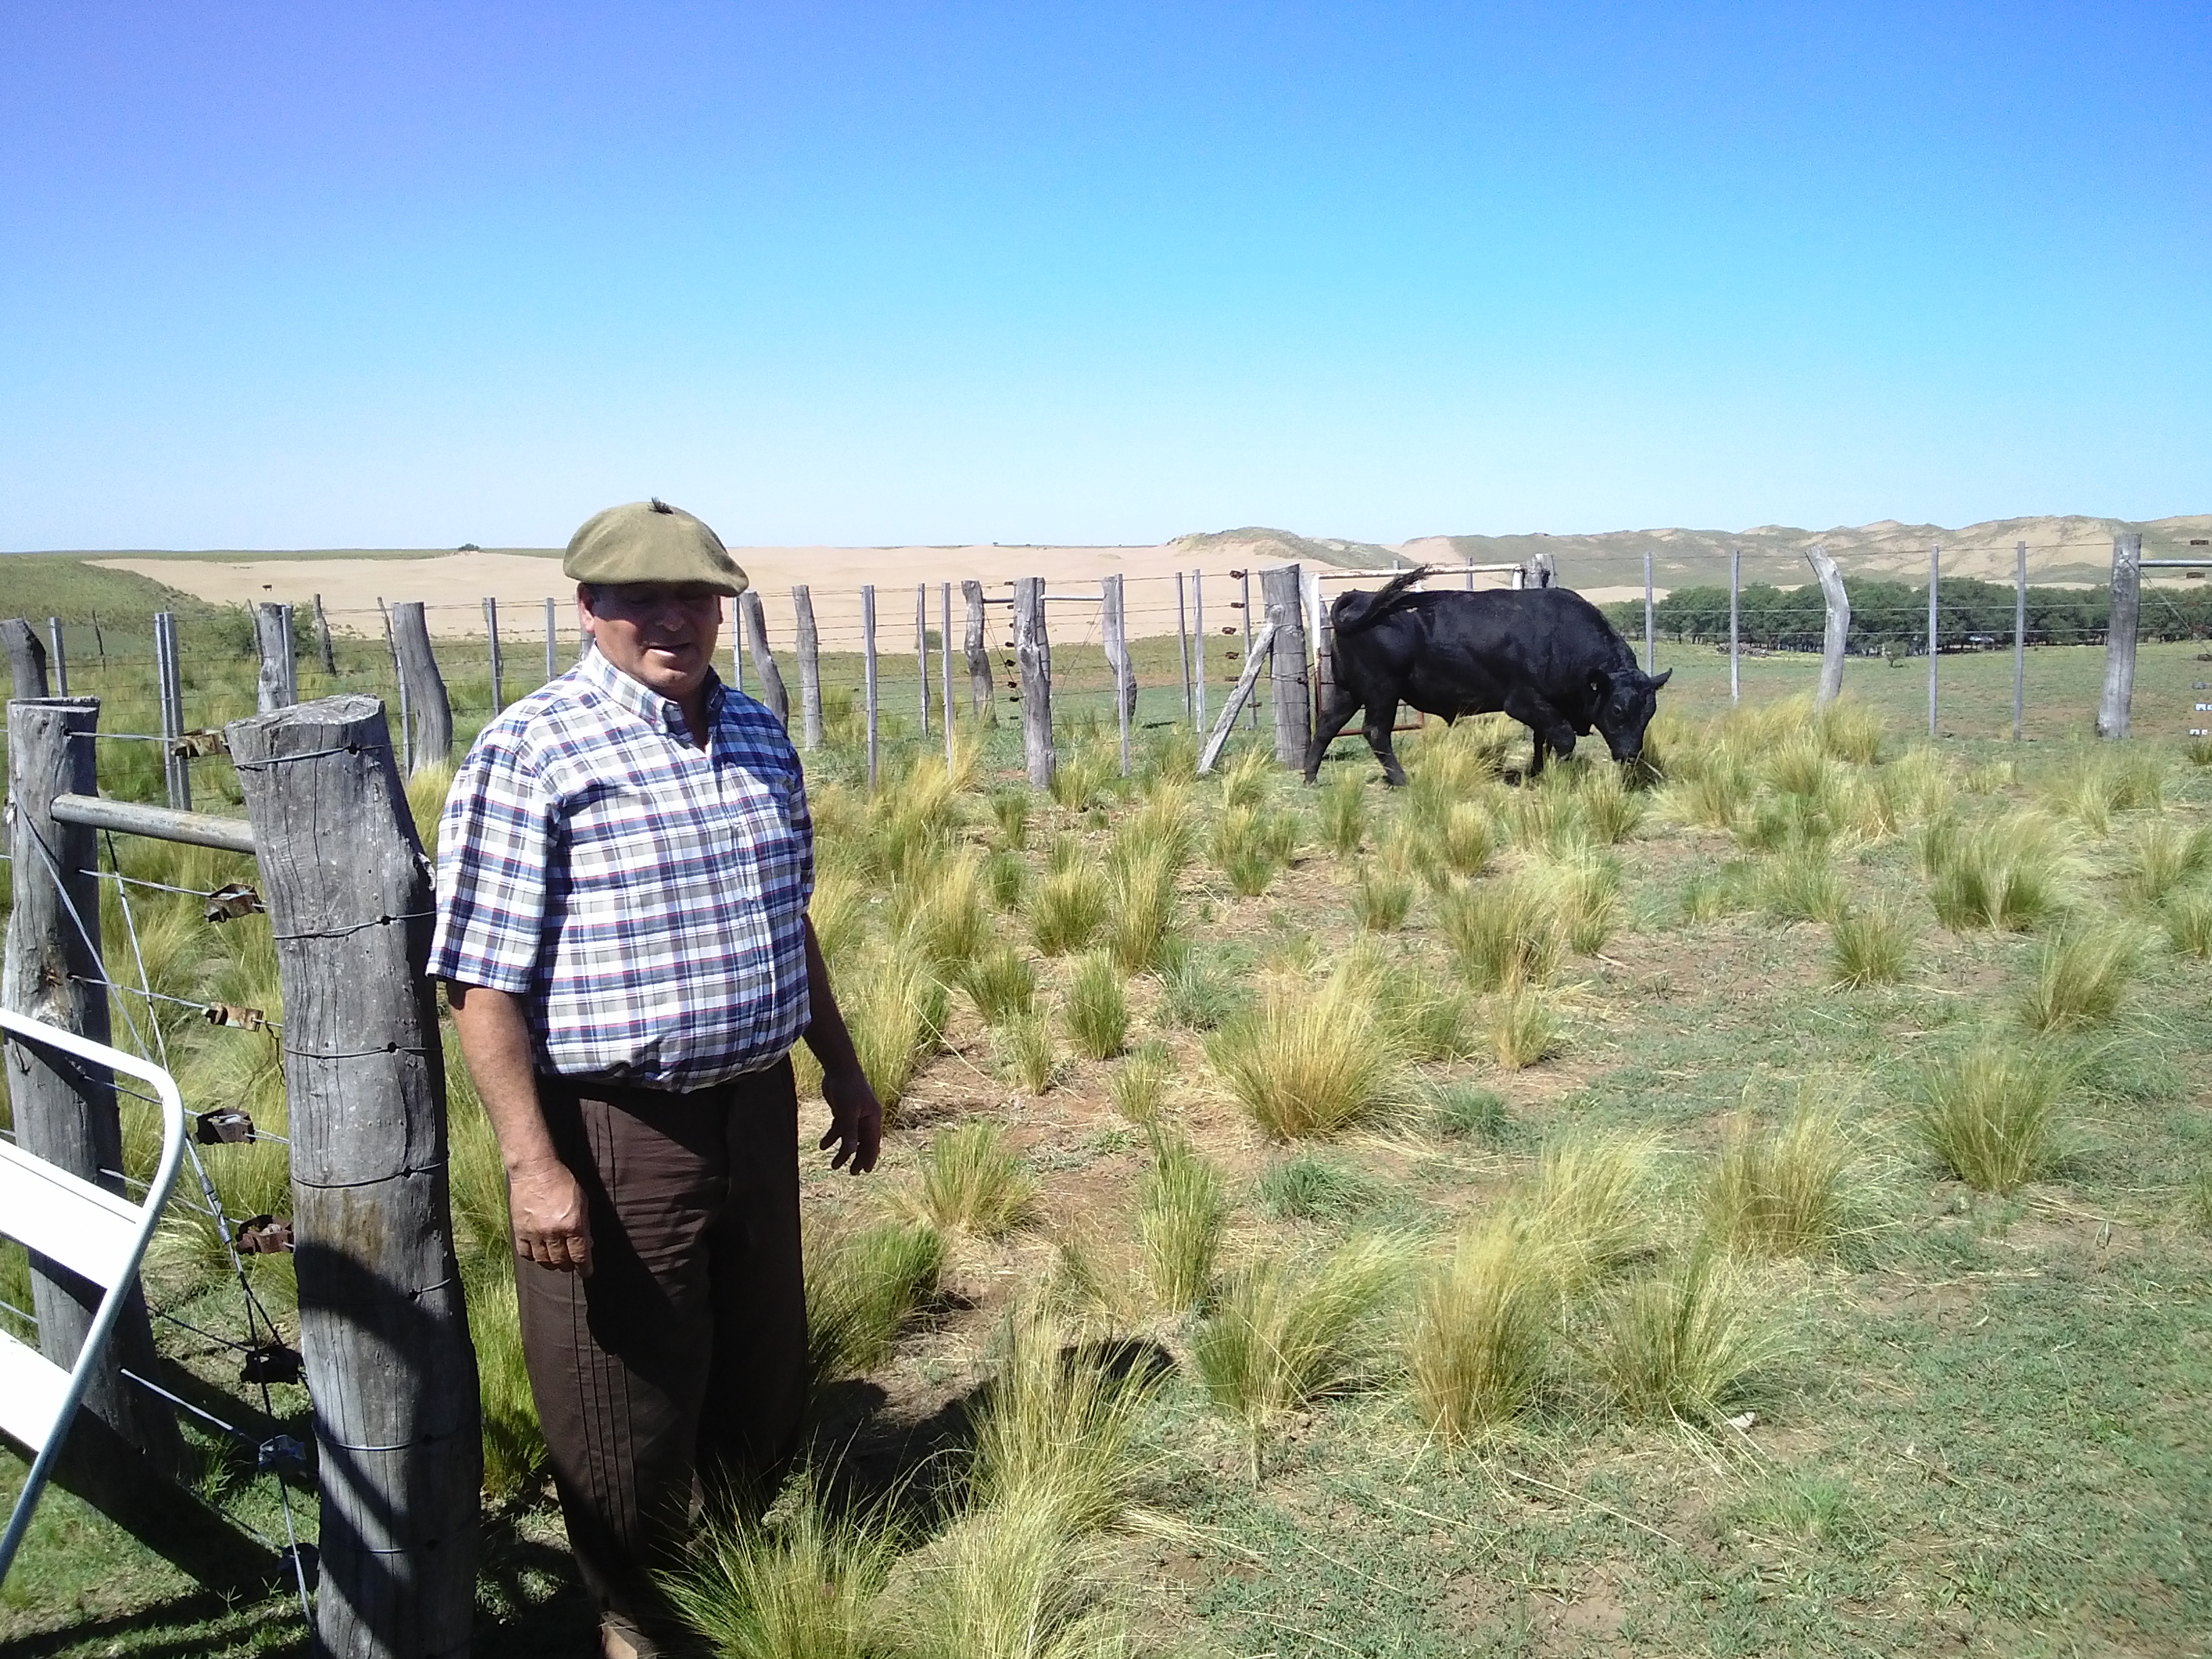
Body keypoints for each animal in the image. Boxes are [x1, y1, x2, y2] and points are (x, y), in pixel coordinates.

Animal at [1292, 575, 1672, 787]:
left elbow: (1543, 740)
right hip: (1382, 691)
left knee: (1327, 725)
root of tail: (1363, 598)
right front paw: (1559, 779)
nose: (1631, 755)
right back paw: (1402, 780)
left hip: (1348, 690)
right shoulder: (1523, 701)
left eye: (1649, 712)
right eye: (1618, 710)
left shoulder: (1547, 705)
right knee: (1375, 732)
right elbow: (1563, 738)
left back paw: (1311, 777)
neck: (1560, 638)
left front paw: (1538, 771)